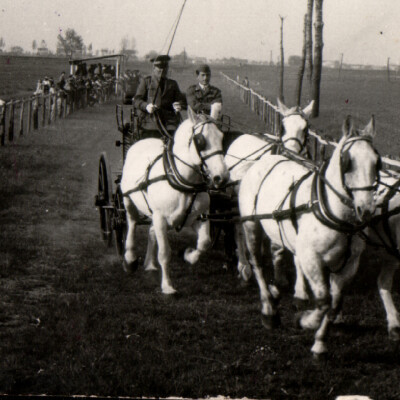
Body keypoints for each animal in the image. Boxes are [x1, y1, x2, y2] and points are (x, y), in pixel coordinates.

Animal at [119, 104, 228, 296]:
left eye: (222, 138)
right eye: (200, 140)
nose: (221, 177)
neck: (183, 181)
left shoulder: (200, 217)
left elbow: (204, 243)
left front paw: (189, 256)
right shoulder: (161, 218)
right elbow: (164, 253)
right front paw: (167, 286)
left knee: (151, 230)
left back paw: (149, 263)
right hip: (128, 199)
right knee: (132, 223)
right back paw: (130, 258)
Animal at [239, 115, 380, 356]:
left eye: (376, 162)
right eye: (347, 162)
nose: (366, 210)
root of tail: (262, 161)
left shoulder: (349, 265)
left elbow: (334, 304)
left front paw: (320, 343)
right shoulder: (312, 258)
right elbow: (323, 301)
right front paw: (306, 321)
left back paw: (279, 291)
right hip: (251, 225)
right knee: (257, 264)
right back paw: (269, 309)